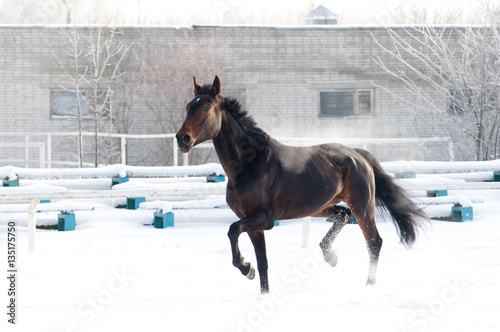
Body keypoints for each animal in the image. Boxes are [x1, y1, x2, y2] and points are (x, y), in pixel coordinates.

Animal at [175, 76, 426, 294]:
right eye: (188, 106)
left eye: (207, 107)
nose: (182, 139)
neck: (250, 165)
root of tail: (357, 155)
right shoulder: (253, 224)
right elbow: (263, 261)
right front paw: (259, 284)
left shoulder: (264, 219)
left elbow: (232, 230)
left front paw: (247, 269)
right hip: (321, 207)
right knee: (343, 216)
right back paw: (330, 256)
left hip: (362, 207)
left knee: (374, 241)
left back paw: (369, 284)